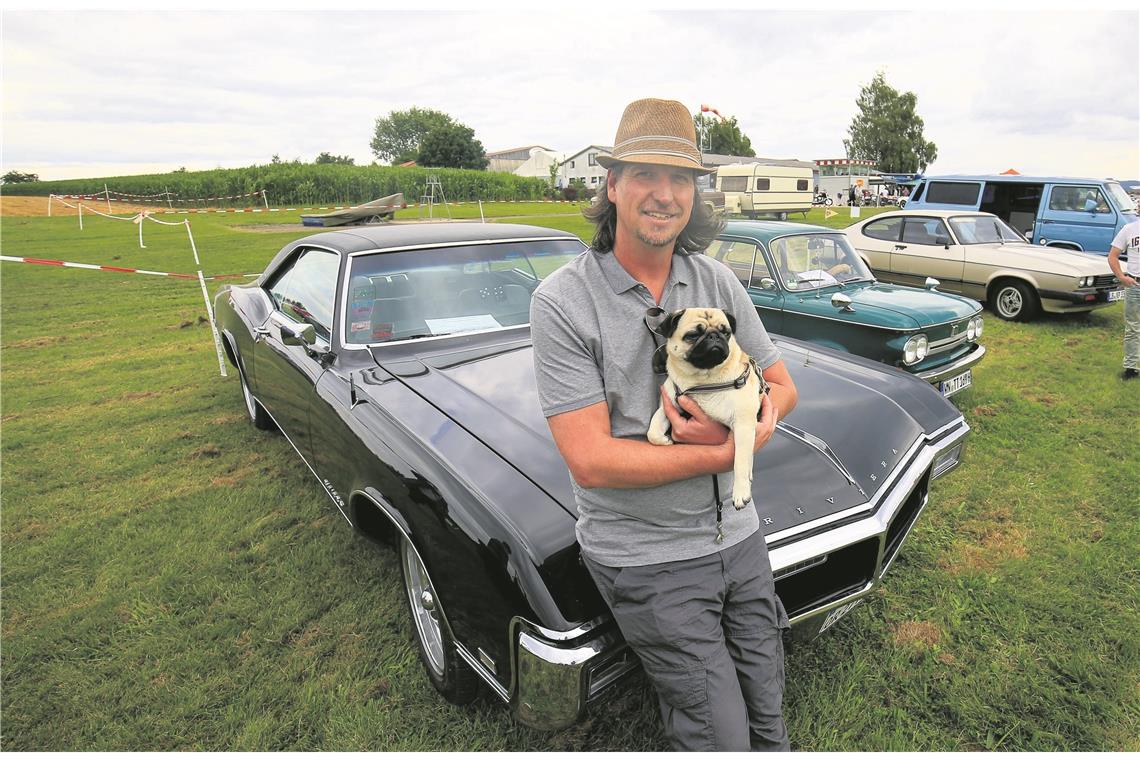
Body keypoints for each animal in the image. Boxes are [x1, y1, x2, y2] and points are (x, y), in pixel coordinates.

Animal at [647, 305, 770, 508]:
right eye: (692, 335)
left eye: (725, 332)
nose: (714, 336)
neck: (703, 380)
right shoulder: (667, 406)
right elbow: (652, 431)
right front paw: (664, 440)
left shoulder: (743, 426)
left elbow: (740, 461)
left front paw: (741, 492)